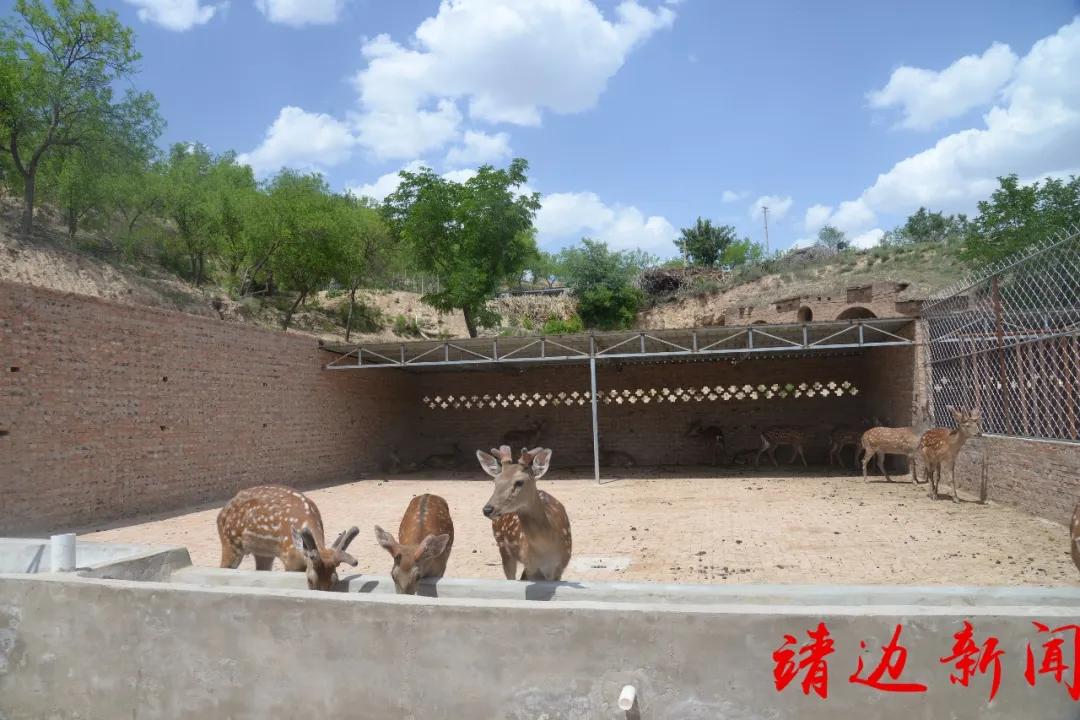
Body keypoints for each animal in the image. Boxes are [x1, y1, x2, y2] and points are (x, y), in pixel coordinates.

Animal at [216, 485, 359, 591]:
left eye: (335, 580)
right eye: (310, 580)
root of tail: (221, 513)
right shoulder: (289, 560)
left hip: (263, 554)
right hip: (230, 542)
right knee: (223, 567)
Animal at [477, 445, 572, 581]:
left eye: (519, 482)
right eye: (495, 481)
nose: (487, 509)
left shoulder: (560, 566)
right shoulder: (530, 565)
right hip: (502, 547)